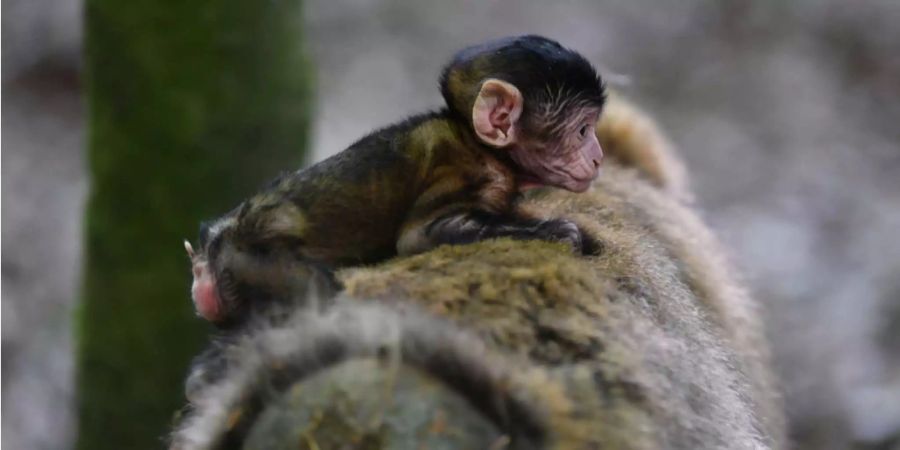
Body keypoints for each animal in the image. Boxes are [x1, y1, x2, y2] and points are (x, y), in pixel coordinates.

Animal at [186, 33, 604, 326]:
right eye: (583, 131)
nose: (598, 157)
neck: (480, 145)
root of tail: (217, 242)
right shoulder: (466, 173)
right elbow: (418, 237)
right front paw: (558, 231)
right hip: (246, 263)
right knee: (316, 287)